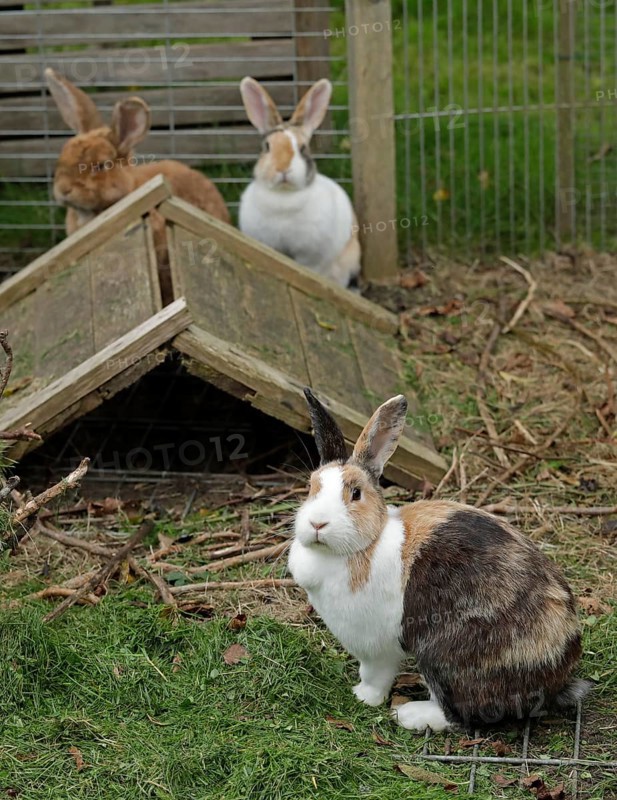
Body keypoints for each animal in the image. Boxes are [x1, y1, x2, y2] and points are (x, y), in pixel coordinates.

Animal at [288, 389, 590, 732]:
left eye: (356, 494)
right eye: (311, 488)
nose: (317, 523)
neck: (364, 545)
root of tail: (557, 677)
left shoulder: (376, 648)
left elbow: (375, 676)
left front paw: (363, 697)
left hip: (442, 656)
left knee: (459, 714)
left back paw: (409, 714)